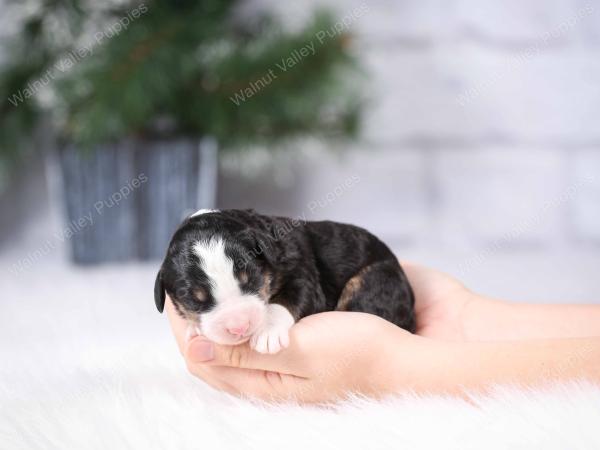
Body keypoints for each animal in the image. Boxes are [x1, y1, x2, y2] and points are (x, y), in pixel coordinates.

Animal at [152, 209, 414, 354]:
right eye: (194, 299)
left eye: (251, 278)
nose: (239, 327)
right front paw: (194, 327)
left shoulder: (304, 276)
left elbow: (287, 300)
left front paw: (267, 333)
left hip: (374, 280)